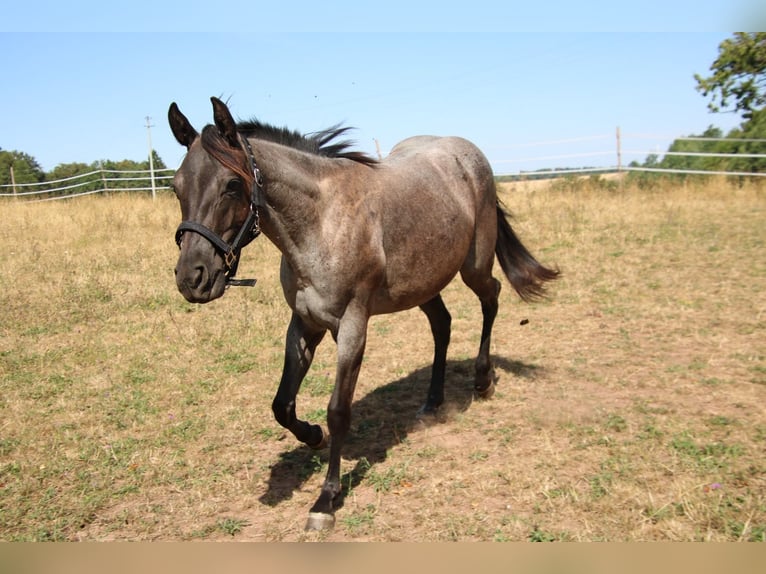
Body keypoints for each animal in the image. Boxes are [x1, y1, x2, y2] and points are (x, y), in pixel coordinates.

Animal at [168, 97, 559, 531]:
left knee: (491, 299)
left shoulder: (352, 327)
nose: (193, 278)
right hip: (423, 283)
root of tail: (468, 153)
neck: (321, 224)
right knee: (442, 324)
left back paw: (483, 380)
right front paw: (313, 436)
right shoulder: (304, 324)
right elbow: (282, 405)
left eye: (232, 185)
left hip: (474, 266)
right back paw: (432, 403)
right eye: (176, 187)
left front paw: (326, 499)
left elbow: (338, 410)